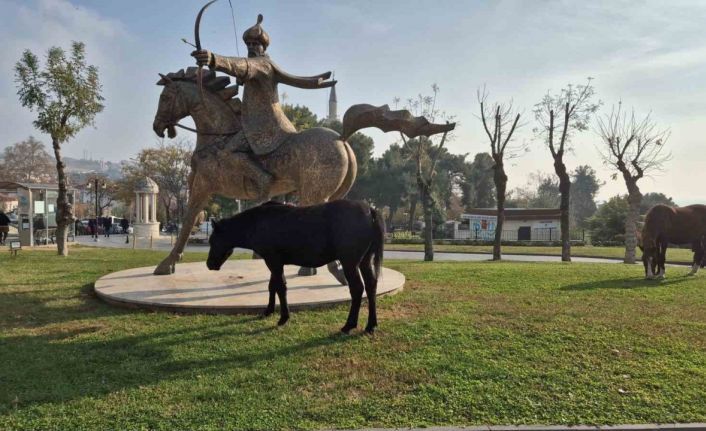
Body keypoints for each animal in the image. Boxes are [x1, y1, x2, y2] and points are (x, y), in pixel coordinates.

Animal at [206, 201, 384, 336]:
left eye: (212, 240)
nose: (209, 264)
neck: (258, 222)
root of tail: (370, 210)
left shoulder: (273, 261)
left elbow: (280, 287)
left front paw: (283, 317)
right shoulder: (275, 262)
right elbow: (273, 286)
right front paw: (268, 311)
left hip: (349, 263)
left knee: (357, 289)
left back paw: (349, 325)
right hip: (365, 261)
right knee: (371, 286)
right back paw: (371, 325)